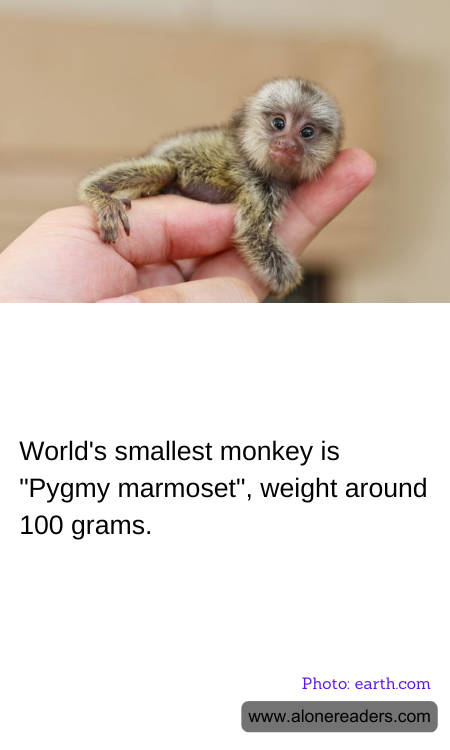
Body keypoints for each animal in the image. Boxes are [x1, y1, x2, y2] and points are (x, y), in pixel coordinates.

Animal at [78, 78, 343, 297]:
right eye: (279, 123)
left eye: (306, 132)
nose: (287, 144)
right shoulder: (256, 185)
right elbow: (254, 234)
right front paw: (287, 283)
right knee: (166, 170)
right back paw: (98, 195)